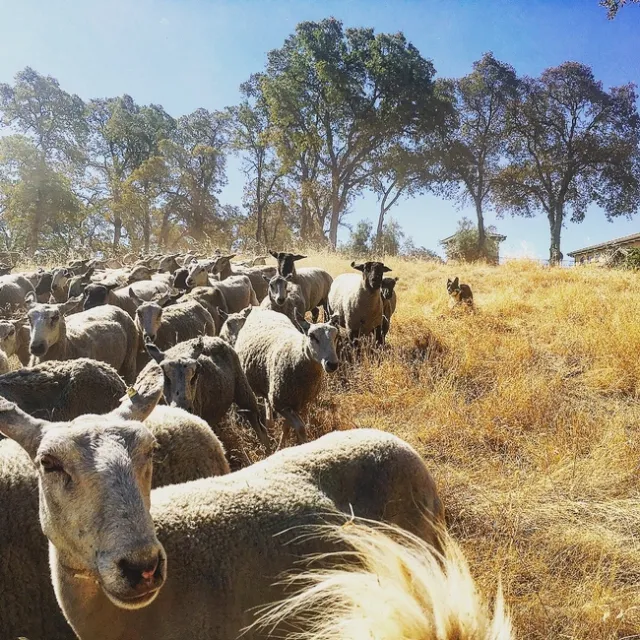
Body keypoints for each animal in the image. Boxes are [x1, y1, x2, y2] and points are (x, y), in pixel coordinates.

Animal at [142, 335, 271, 451]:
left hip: (243, 390)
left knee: (259, 427)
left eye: (196, 373)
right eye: (164, 374)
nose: (184, 407)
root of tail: (210, 337)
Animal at [235, 308, 339, 444]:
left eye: (335, 335)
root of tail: (259, 308)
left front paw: (282, 444)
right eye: (312, 336)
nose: (332, 364)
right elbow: (300, 427)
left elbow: (287, 427)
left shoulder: (300, 403)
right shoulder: (281, 404)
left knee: (267, 403)